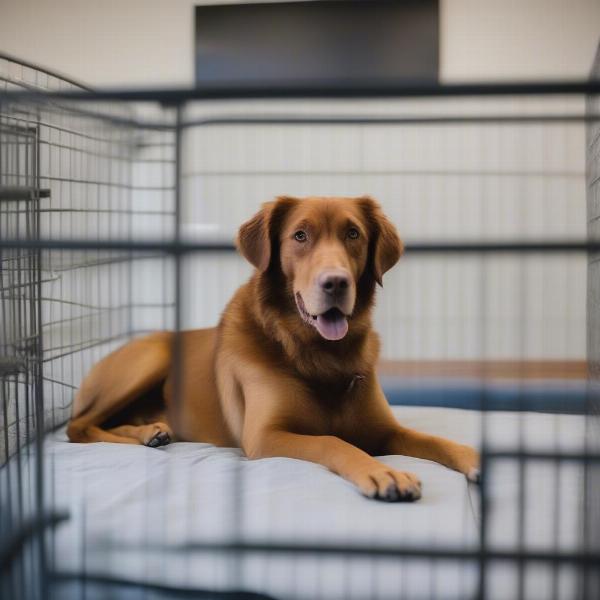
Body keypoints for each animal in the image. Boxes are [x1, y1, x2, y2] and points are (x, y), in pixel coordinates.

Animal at [67, 197, 478, 502]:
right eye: (300, 235)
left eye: (353, 233)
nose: (335, 283)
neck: (319, 354)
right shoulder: (265, 436)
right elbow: (334, 441)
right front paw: (382, 472)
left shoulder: (384, 431)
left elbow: (433, 439)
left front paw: (474, 457)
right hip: (152, 357)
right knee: (78, 427)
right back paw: (140, 437)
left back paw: (150, 431)